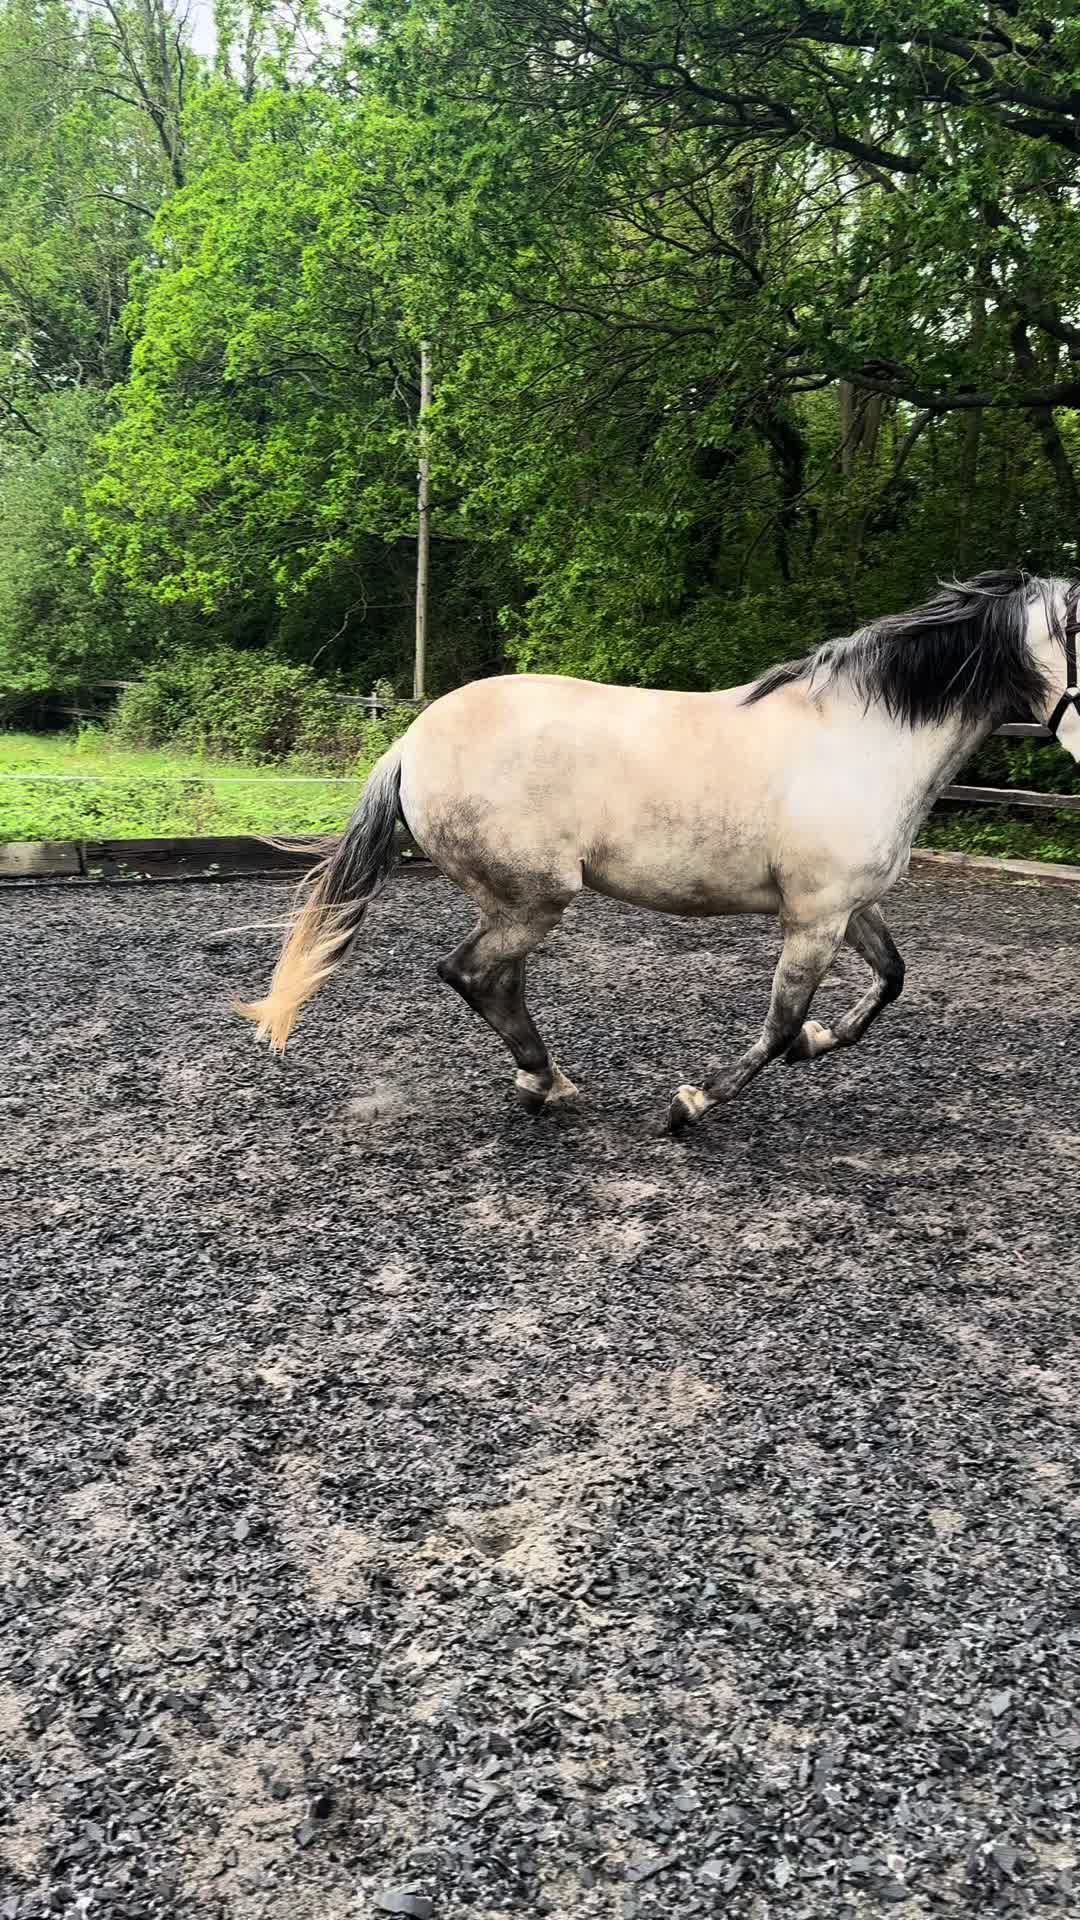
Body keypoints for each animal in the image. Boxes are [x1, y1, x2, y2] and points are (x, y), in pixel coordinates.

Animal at [237, 570, 1080, 1134]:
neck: (862, 741)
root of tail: (411, 742)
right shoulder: (813, 918)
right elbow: (780, 1023)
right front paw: (691, 1103)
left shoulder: (849, 906)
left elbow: (891, 980)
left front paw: (819, 1044)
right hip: (535, 897)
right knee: (470, 973)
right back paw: (542, 1079)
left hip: (516, 902)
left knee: (494, 980)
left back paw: (544, 1079)